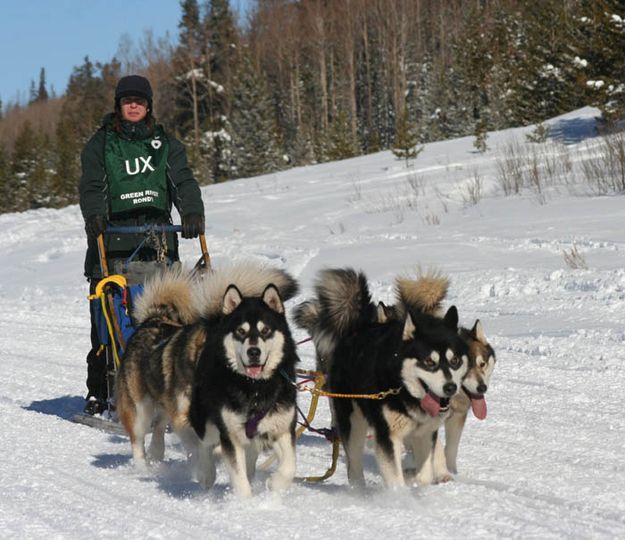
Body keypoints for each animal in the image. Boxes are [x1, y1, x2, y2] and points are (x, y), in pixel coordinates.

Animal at [115, 260, 300, 474]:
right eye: (239, 334)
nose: (253, 353)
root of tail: (153, 319)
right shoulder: (185, 417)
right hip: (139, 409)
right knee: (138, 439)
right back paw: (143, 467)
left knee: (160, 424)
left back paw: (157, 451)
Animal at [302, 268, 468, 488]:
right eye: (429, 362)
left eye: (455, 360)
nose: (450, 387)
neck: (404, 390)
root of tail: (357, 328)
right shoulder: (387, 435)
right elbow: (394, 476)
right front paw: (399, 495)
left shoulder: (425, 433)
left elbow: (425, 472)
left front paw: (421, 485)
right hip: (352, 422)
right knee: (354, 465)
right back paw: (359, 490)